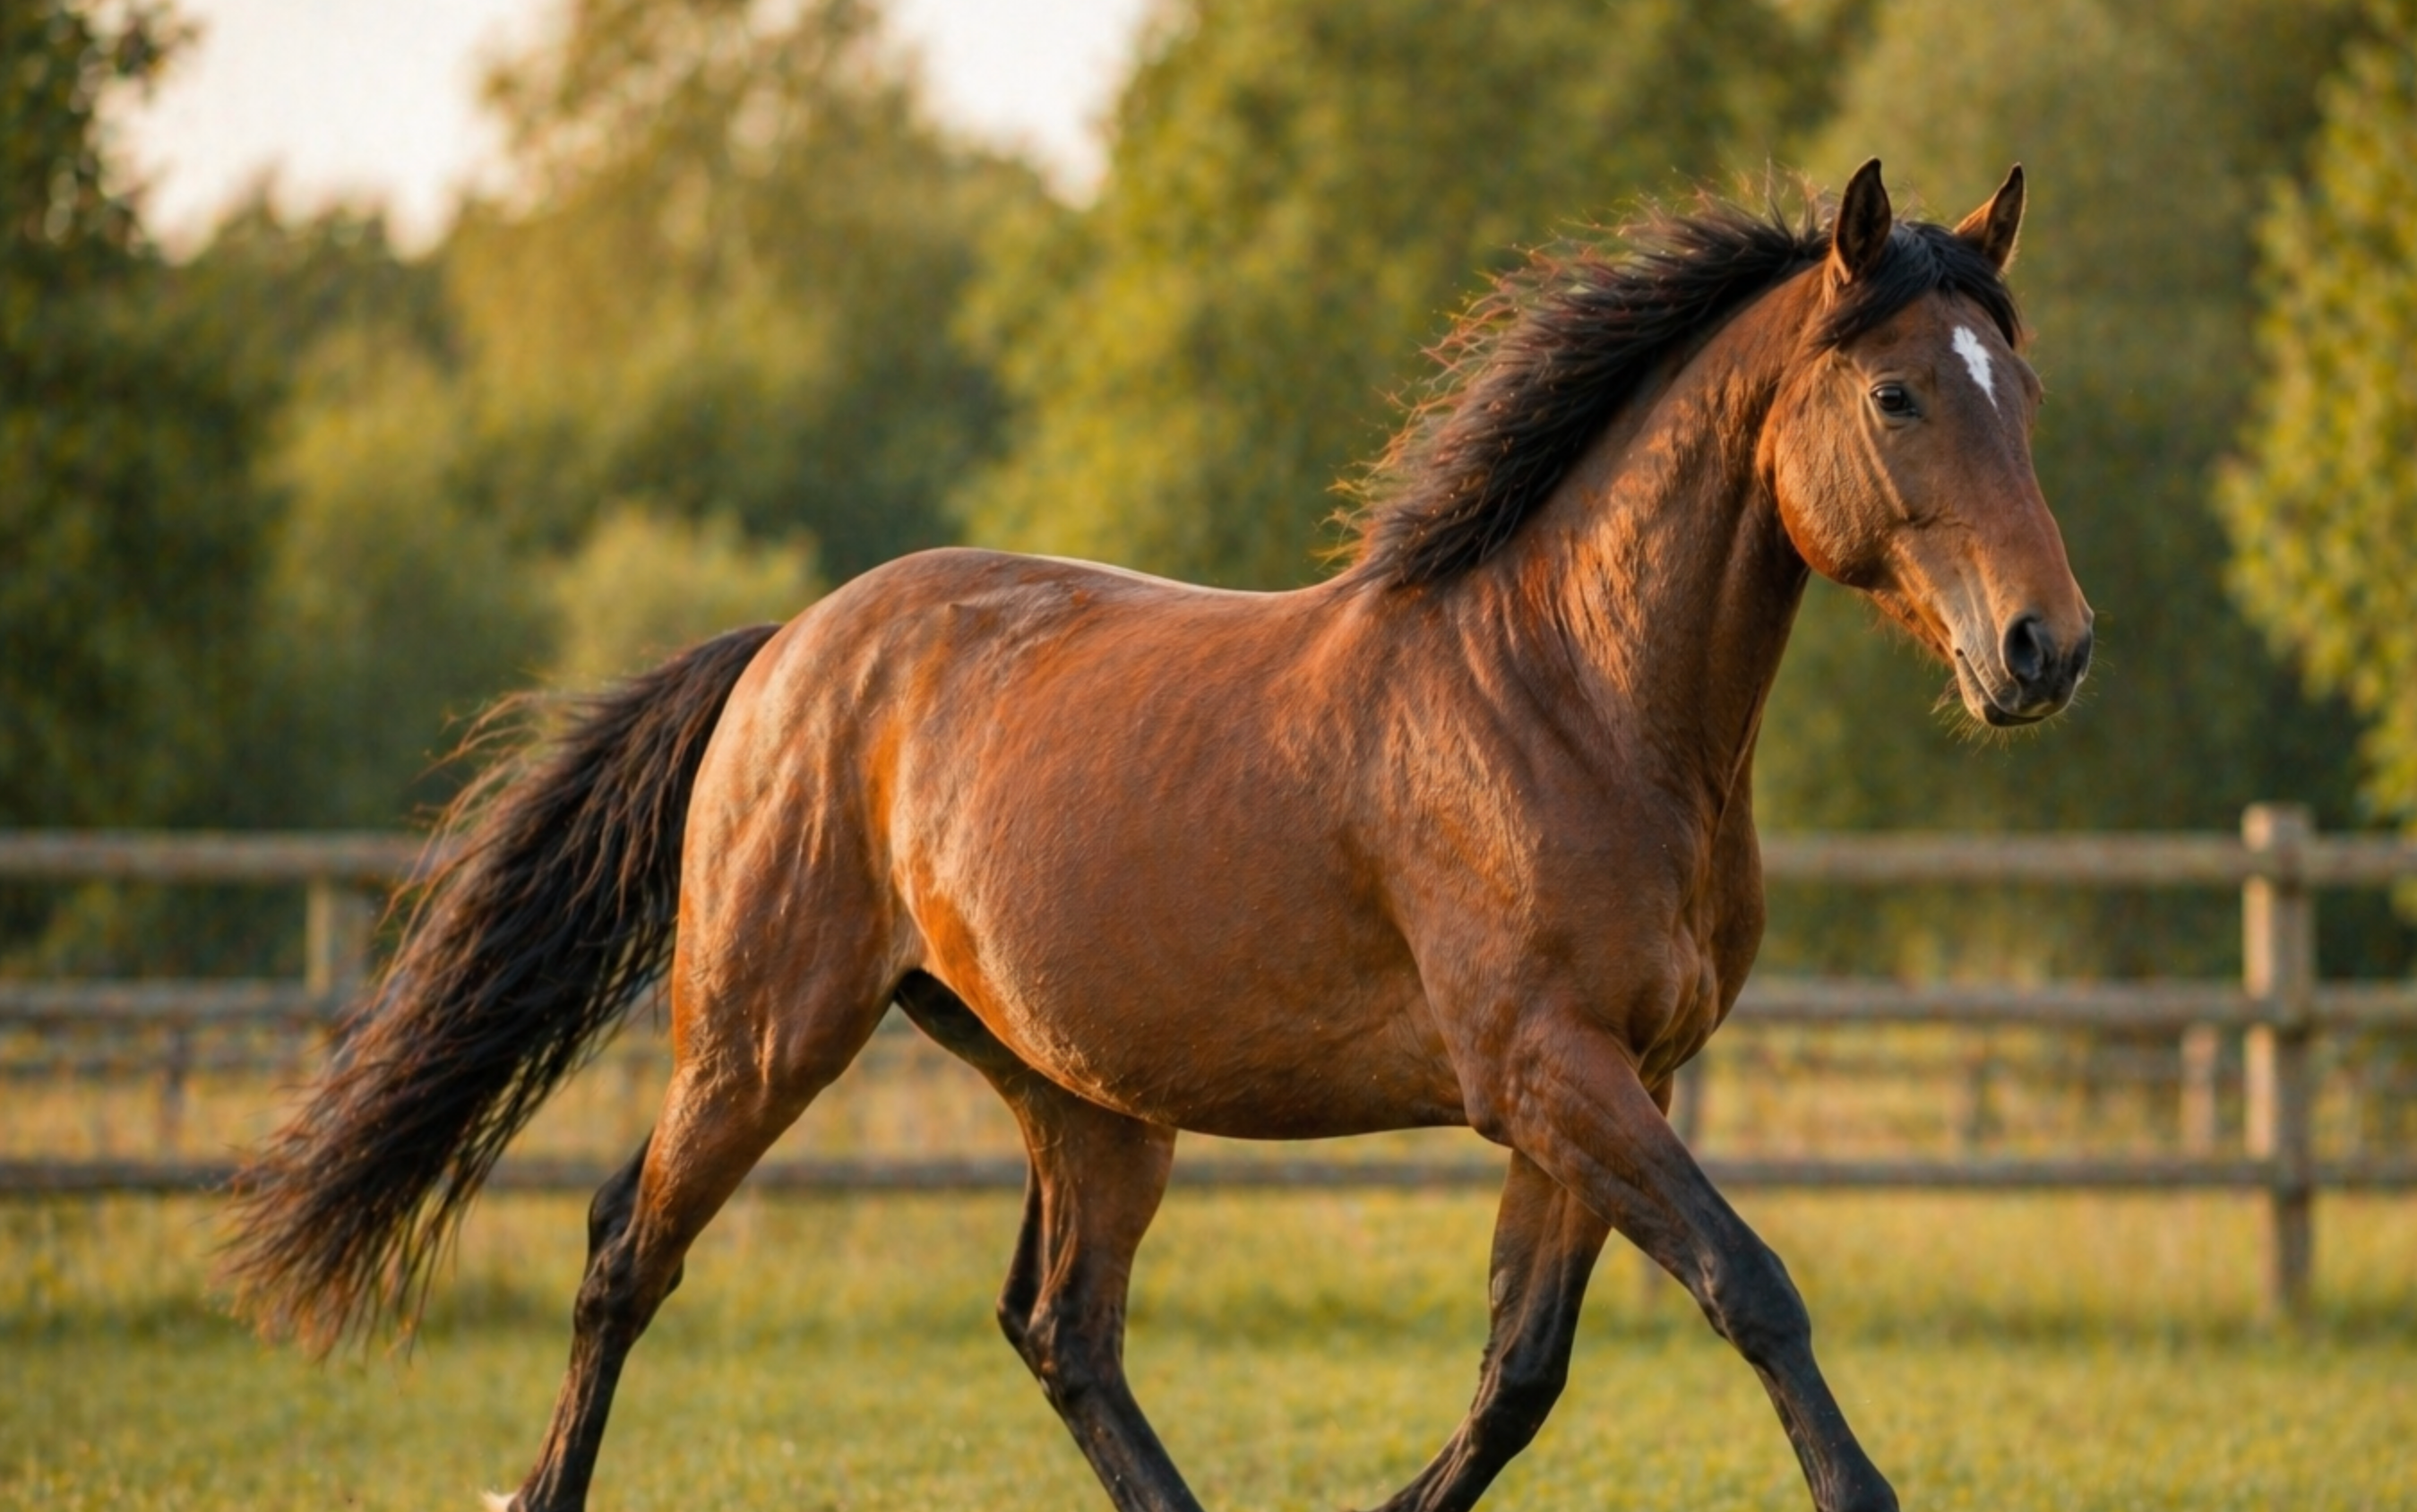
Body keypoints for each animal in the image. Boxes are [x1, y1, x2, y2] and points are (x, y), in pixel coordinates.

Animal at [225, 159, 2091, 1512]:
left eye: (2021, 387)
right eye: (1901, 397)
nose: (2043, 649)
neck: (1564, 697)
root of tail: (786, 651)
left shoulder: (1611, 1078)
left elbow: (1518, 1372)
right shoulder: (1547, 1069)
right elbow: (1746, 1284)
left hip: (1083, 1097)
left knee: (1064, 1331)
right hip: (761, 1031)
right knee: (629, 1250)